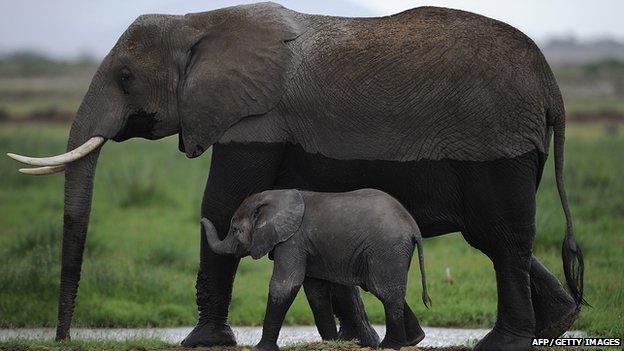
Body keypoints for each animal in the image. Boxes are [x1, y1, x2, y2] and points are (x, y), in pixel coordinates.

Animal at [202, 190, 432, 351]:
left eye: (234, 229)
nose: (202, 218)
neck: (274, 197)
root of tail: (413, 227)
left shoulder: (292, 241)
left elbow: (285, 285)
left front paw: (261, 348)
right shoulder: (306, 246)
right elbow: (315, 292)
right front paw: (331, 343)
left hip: (387, 249)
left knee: (383, 290)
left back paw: (390, 346)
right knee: (385, 289)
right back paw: (414, 339)